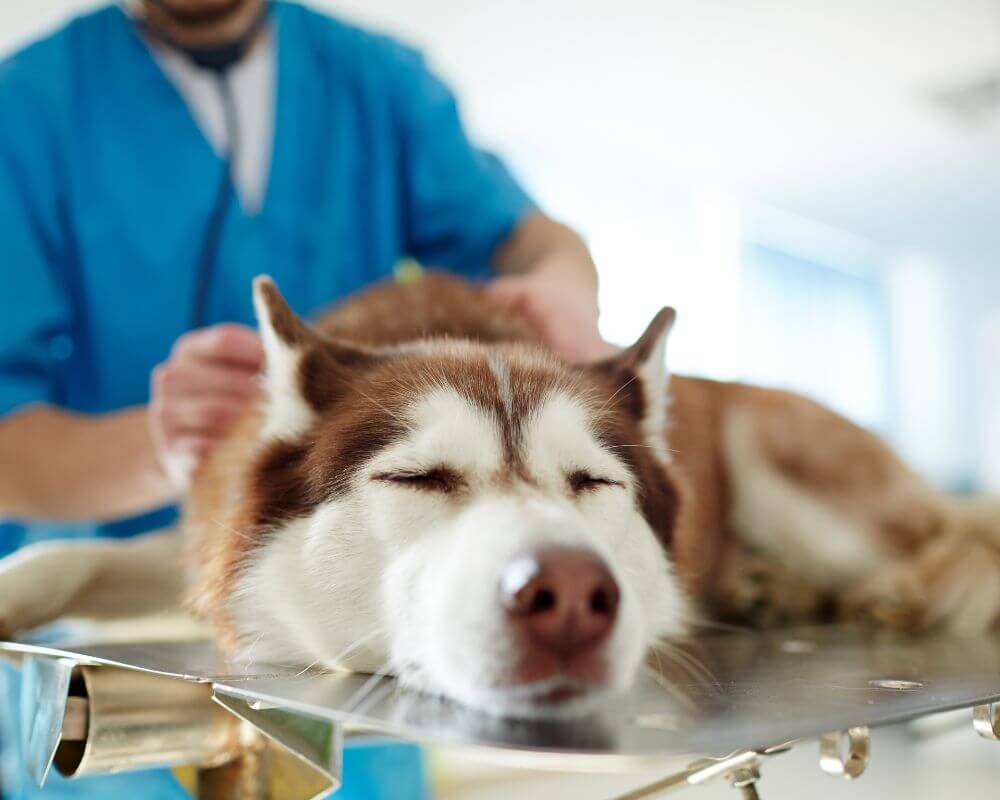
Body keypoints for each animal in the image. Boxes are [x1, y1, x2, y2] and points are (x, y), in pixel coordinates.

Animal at [1, 276, 1000, 720]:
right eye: (418, 478)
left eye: (593, 484)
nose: (571, 598)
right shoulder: (207, 542)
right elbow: (69, 553)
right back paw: (770, 589)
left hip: (785, 462)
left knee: (958, 539)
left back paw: (891, 588)